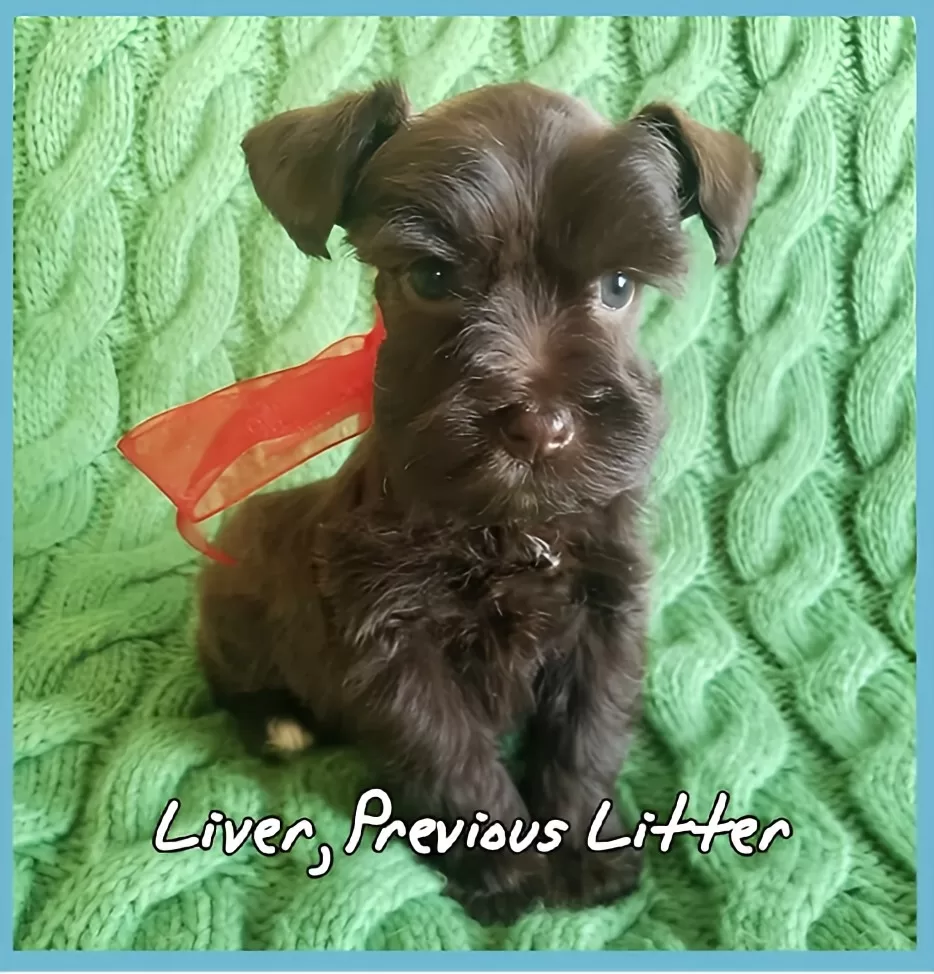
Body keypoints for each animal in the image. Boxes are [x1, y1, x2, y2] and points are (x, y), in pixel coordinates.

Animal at [197, 82, 760, 924]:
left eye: (619, 287)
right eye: (431, 278)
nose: (539, 424)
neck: (503, 525)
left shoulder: (603, 620)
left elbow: (587, 737)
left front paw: (582, 851)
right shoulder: (394, 647)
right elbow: (451, 758)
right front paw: (503, 870)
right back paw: (278, 722)